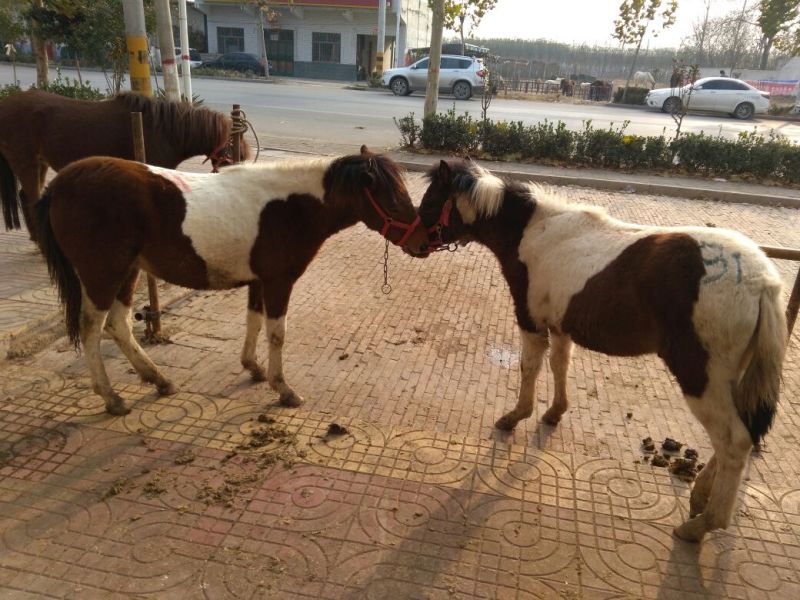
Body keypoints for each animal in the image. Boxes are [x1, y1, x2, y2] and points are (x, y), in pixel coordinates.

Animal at [0, 89, 251, 234]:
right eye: (235, 141)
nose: (245, 161)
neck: (164, 130)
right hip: (26, 161)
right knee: (30, 198)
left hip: (39, 163)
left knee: (26, 197)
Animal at [35, 147, 429, 416]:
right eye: (393, 199)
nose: (424, 242)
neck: (290, 207)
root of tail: (59, 185)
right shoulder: (278, 282)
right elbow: (276, 333)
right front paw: (283, 389)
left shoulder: (258, 282)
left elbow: (253, 322)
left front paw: (253, 368)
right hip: (103, 275)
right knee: (91, 328)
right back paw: (112, 396)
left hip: (128, 272)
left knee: (118, 325)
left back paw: (158, 380)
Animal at [413, 159, 786, 543]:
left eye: (431, 200)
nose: (414, 245)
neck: (534, 232)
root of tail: (763, 283)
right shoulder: (560, 327)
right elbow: (559, 365)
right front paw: (554, 412)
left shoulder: (531, 323)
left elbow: (529, 368)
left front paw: (516, 416)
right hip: (728, 380)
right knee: (736, 438)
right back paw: (699, 497)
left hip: (701, 377)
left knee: (734, 442)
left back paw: (700, 525)